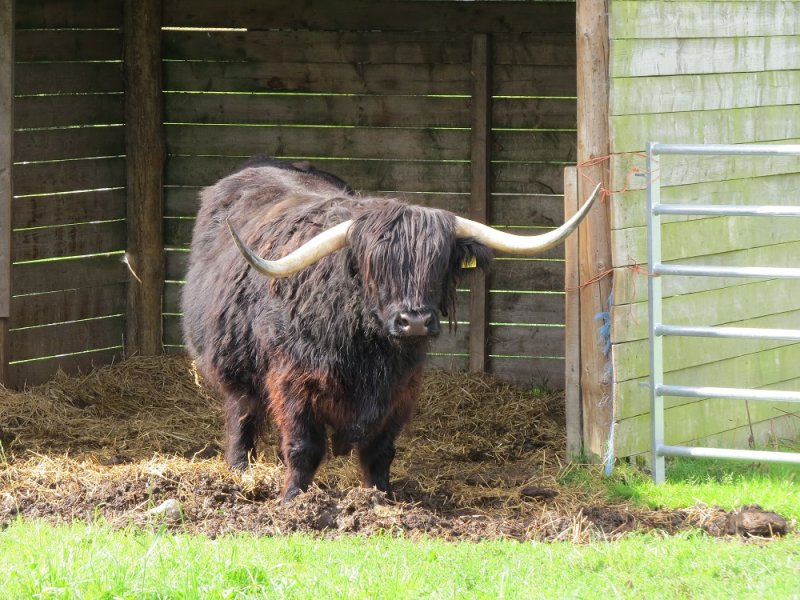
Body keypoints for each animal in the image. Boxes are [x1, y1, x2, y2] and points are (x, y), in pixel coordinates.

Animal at [181, 158, 600, 501]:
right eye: (376, 266)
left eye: (439, 264)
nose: (414, 321)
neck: (366, 351)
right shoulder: (293, 381)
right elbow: (303, 446)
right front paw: (293, 500)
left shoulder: (400, 389)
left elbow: (380, 452)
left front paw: (381, 500)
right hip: (234, 365)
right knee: (242, 414)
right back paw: (240, 470)